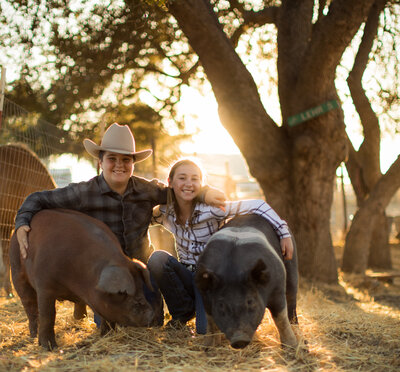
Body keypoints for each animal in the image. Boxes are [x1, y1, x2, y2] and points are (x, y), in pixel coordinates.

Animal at [9, 209, 156, 348]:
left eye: (141, 288)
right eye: (122, 293)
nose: (151, 315)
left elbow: (107, 317)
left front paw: (106, 335)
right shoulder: (44, 286)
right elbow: (48, 315)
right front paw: (49, 347)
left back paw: (78, 322)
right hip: (16, 271)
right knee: (30, 306)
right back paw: (33, 335)